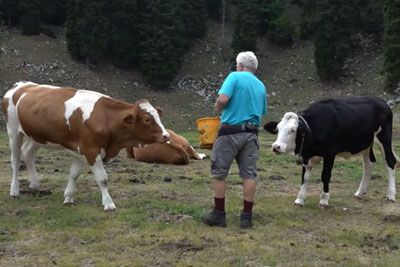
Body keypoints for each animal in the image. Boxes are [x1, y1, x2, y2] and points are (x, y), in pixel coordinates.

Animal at [2, 81, 169, 211]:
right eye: (147, 119)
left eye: (158, 117)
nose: (166, 136)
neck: (105, 117)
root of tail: (20, 85)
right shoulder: (91, 150)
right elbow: (102, 178)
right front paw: (108, 203)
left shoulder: (80, 150)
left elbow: (73, 174)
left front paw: (68, 197)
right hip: (13, 131)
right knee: (15, 160)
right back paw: (15, 191)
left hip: (37, 136)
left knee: (27, 152)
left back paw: (35, 184)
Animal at [264, 96, 398, 207]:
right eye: (277, 129)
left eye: (292, 130)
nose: (276, 146)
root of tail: (380, 101)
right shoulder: (306, 156)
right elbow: (305, 177)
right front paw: (300, 200)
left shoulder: (330, 154)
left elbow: (325, 176)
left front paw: (324, 200)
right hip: (366, 144)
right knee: (368, 163)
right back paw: (360, 192)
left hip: (384, 137)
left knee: (390, 161)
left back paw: (391, 195)